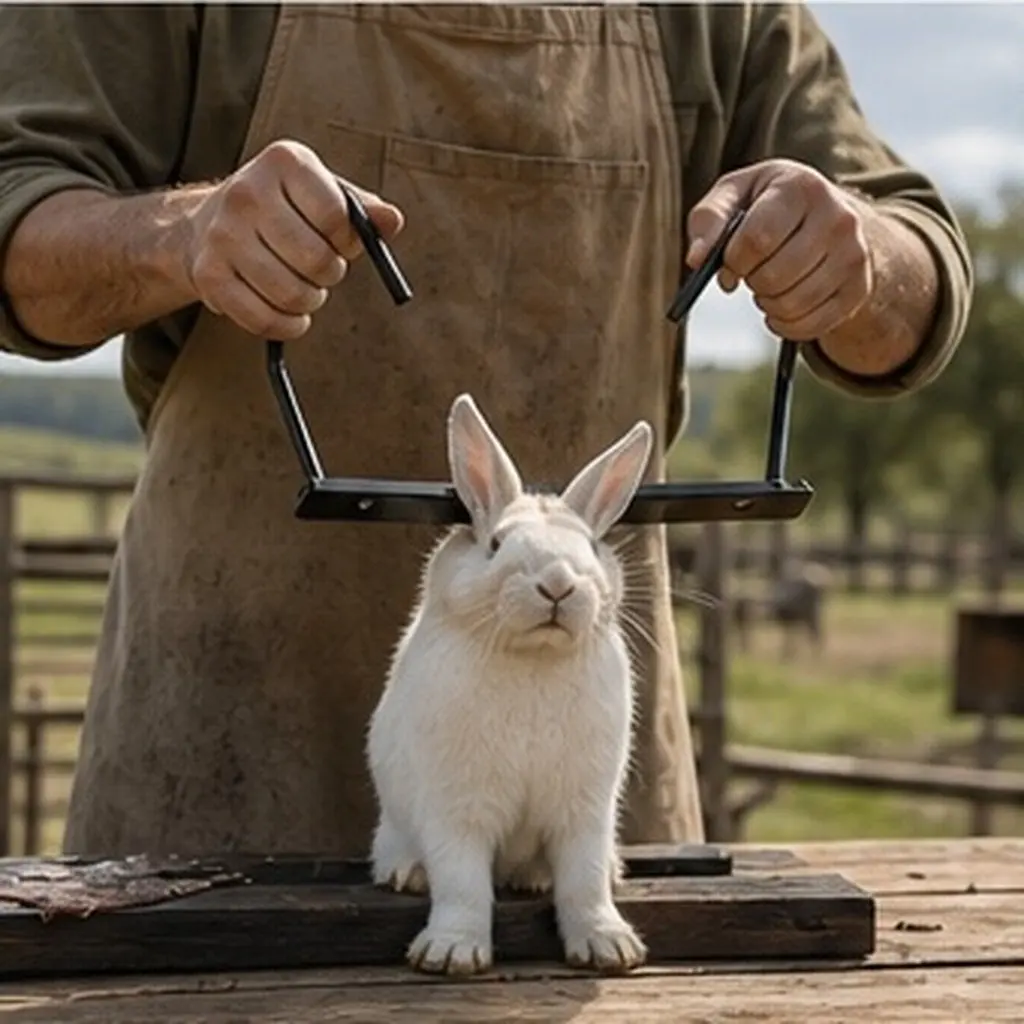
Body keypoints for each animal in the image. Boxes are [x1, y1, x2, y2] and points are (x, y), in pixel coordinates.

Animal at [366, 391, 654, 978]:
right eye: (496, 544)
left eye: (592, 547)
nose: (559, 584)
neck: (534, 659)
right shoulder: (456, 807)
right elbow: (462, 883)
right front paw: (452, 953)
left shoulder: (585, 811)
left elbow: (585, 882)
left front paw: (609, 947)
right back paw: (405, 872)